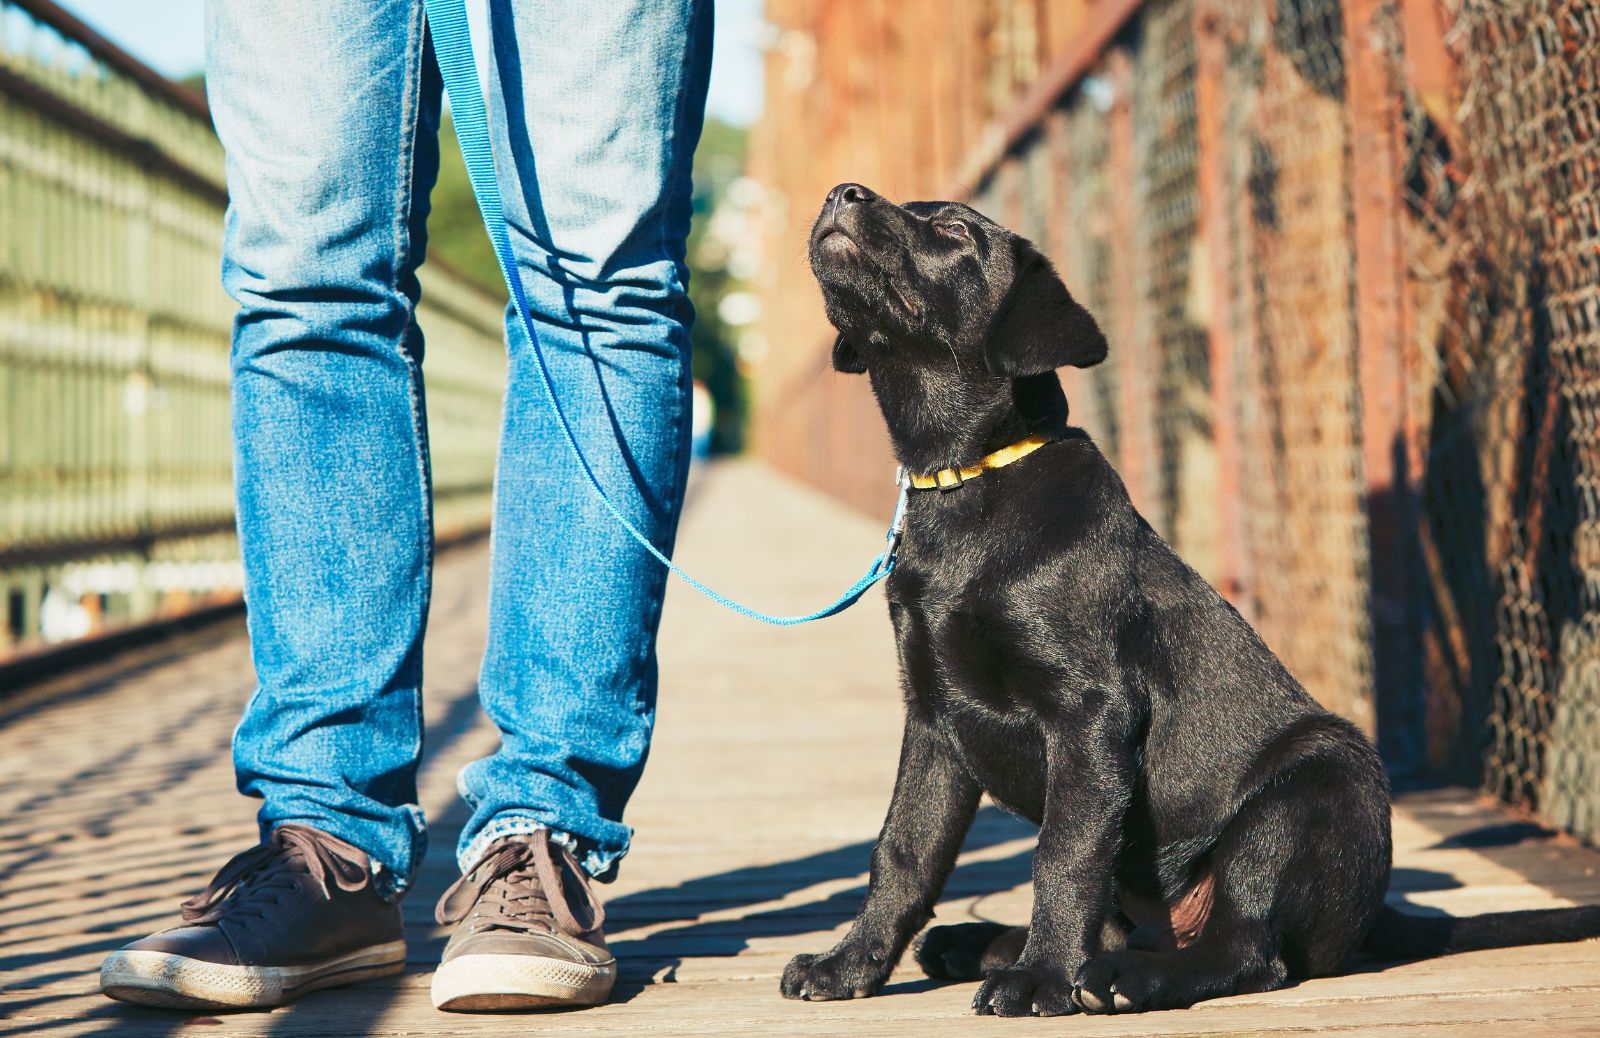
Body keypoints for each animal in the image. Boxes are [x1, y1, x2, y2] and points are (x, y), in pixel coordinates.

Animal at [780, 182, 1600, 1017]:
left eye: (952, 231)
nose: (843, 192)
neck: (968, 481)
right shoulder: (935, 720)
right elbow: (904, 851)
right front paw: (849, 965)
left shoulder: (1089, 713)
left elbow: (1063, 856)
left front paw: (1042, 978)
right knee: (1135, 928)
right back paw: (979, 942)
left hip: (1312, 789)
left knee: (1246, 951)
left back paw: (1115, 978)